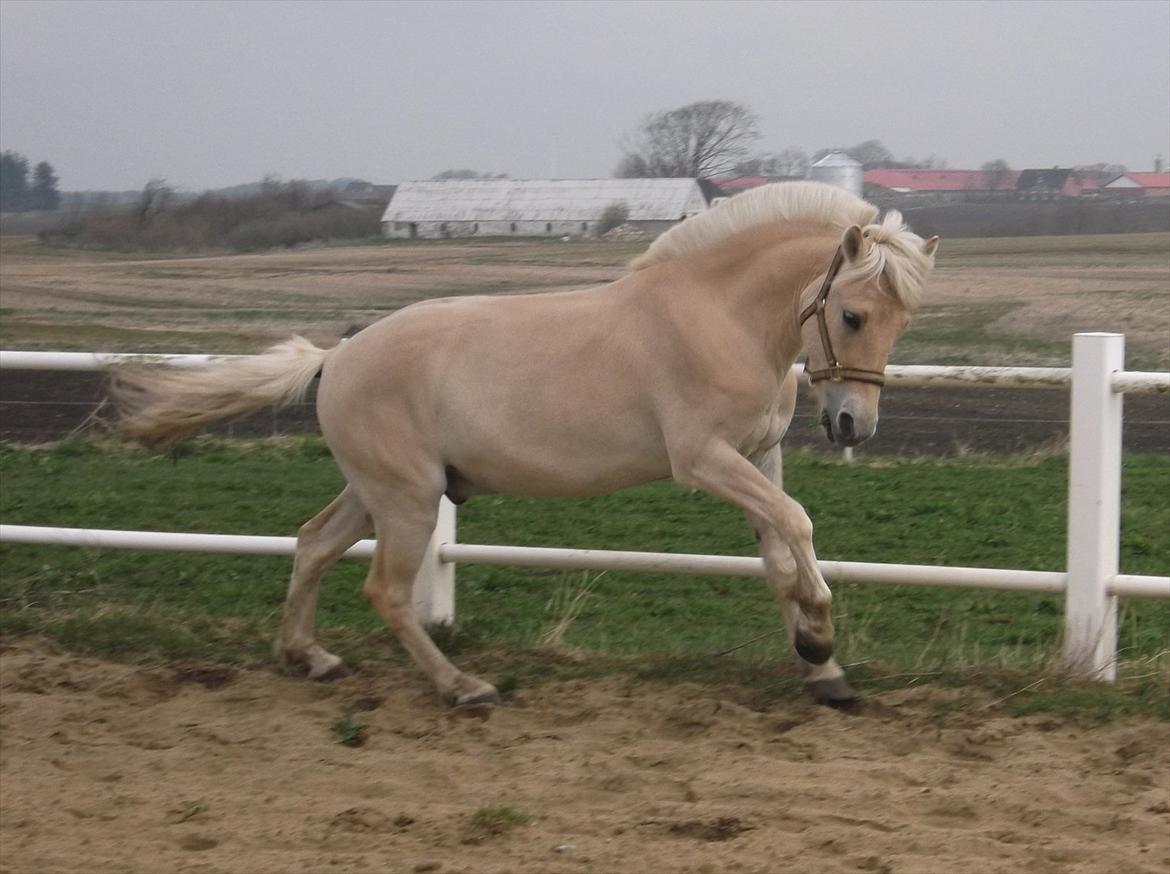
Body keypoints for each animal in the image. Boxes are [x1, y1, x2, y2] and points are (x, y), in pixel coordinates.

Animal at [109, 184, 940, 711]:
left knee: (312, 544)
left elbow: (777, 555)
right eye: (854, 315)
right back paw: (464, 689)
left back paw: (309, 658)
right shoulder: (705, 459)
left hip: (381, 491)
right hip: (409, 498)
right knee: (384, 589)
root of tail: (335, 357)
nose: (853, 426)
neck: (720, 316)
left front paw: (822, 668)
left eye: (903, 321)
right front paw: (820, 634)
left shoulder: (758, 456)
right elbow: (797, 525)